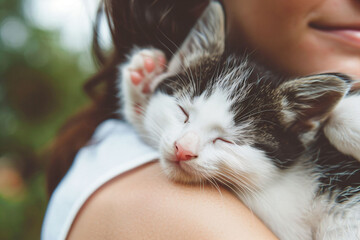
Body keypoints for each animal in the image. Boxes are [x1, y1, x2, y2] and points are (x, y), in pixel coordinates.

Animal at [119, 2, 360, 240]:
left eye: (228, 141)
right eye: (182, 112)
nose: (183, 150)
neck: (277, 181)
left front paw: (350, 118)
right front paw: (143, 82)